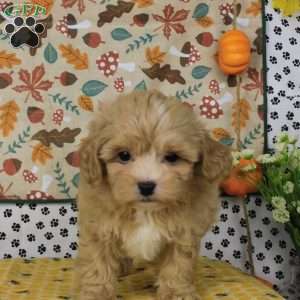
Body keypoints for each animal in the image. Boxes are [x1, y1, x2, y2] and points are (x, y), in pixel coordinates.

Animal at [77, 91, 232, 300]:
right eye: (124, 155)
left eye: (172, 157)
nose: (146, 186)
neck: (146, 211)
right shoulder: (99, 228)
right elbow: (98, 264)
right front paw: (96, 293)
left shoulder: (184, 232)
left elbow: (178, 264)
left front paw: (176, 292)